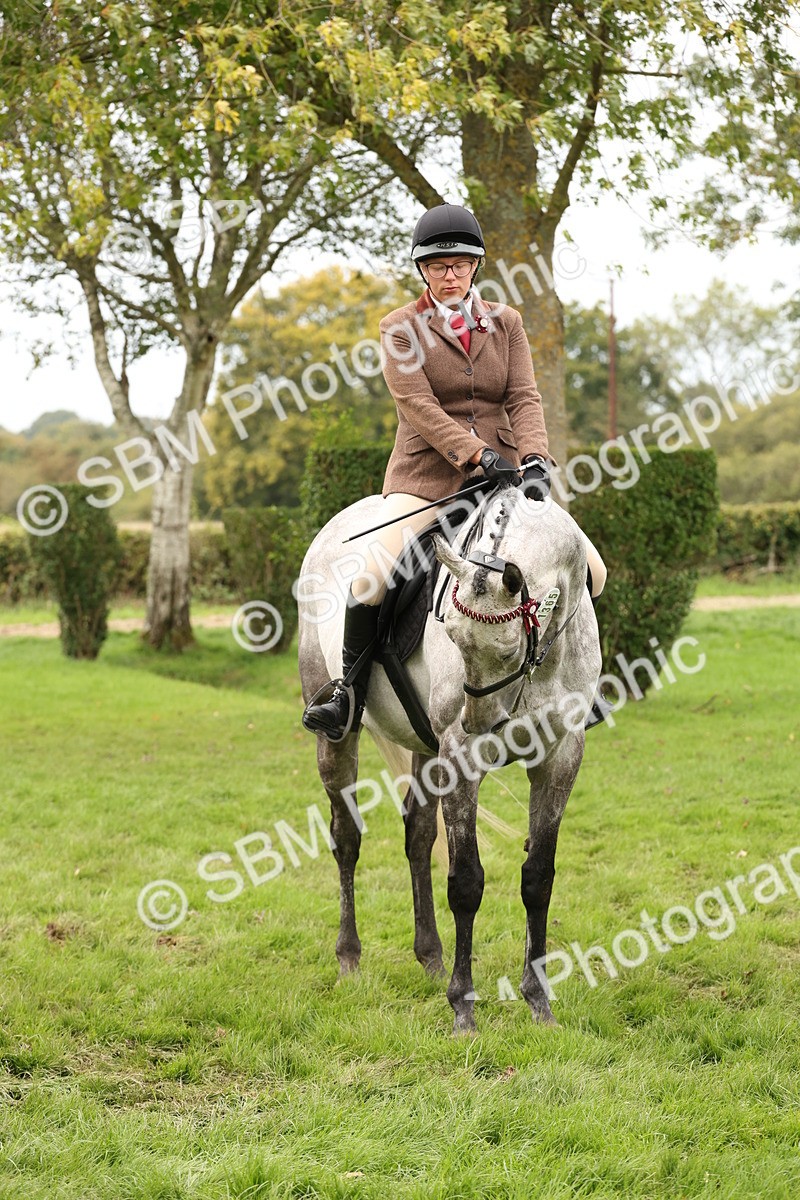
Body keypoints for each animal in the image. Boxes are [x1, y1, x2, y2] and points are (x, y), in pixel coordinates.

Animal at [296, 482, 602, 1034]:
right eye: (453, 637)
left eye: (507, 650)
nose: (479, 725)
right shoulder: (461, 760)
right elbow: (466, 882)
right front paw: (463, 1006)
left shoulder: (562, 755)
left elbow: (538, 877)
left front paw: (538, 1001)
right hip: (338, 736)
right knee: (346, 838)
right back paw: (349, 958)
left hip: (426, 748)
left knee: (418, 838)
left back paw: (431, 957)